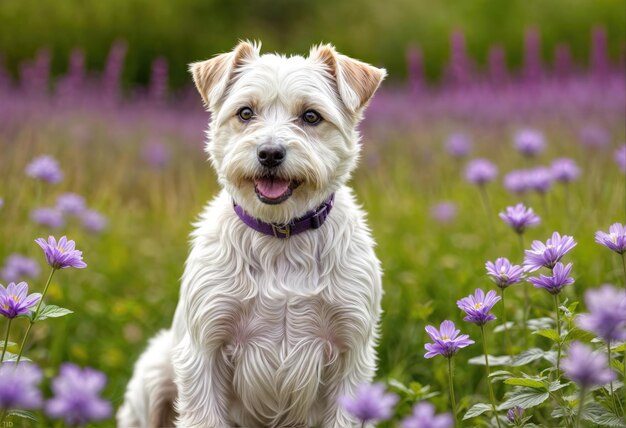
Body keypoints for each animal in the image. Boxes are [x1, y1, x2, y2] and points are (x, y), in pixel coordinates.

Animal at [118, 41, 386, 428]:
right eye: (245, 113)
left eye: (311, 116)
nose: (270, 153)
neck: (281, 235)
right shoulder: (205, 349)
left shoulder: (351, 351)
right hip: (154, 371)